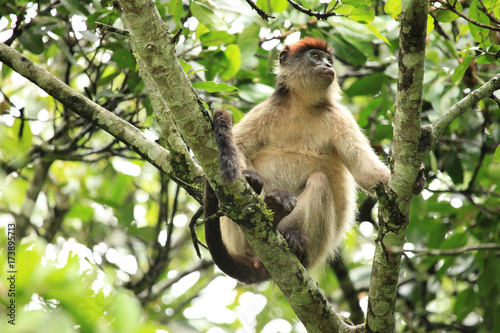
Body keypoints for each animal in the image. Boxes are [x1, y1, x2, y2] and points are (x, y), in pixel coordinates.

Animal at [203, 38, 390, 282]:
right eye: (316, 57)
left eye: (329, 60)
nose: (328, 66)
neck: (302, 106)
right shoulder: (268, 109)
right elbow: (240, 147)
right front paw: (250, 178)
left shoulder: (340, 116)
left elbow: (364, 172)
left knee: (319, 180)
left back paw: (290, 236)